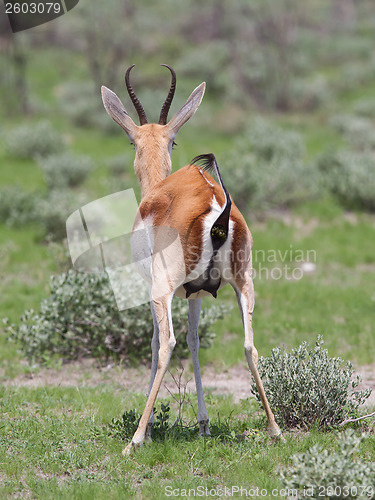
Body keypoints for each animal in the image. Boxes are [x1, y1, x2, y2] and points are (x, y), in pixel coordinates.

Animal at [100, 64, 282, 456]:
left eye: (132, 141)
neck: (157, 195)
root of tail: (216, 204)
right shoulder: (197, 293)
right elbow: (195, 341)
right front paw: (203, 425)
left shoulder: (156, 290)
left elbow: (158, 344)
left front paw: (151, 426)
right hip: (244, 284)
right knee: (249, 344)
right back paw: (275, 430)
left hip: (163, 289)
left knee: (167, 344)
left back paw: (135, 439)